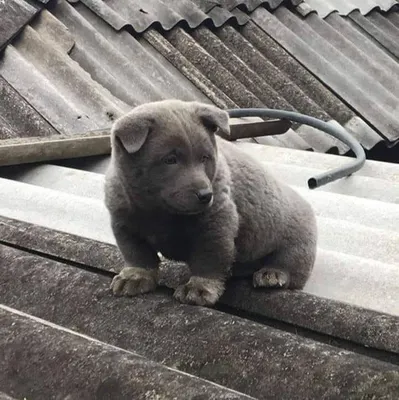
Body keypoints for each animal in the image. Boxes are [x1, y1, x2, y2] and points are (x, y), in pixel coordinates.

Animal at [104, 99, 318, 306]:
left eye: (205, 158)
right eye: (170, 159)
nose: (206, 195)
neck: (158, 211)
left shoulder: (215, 225)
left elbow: (209, 260)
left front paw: (198, 289)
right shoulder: (124, 224)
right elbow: (137, 255)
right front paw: (134, 277)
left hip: (298, 243)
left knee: (290, 265)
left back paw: (272, 274)